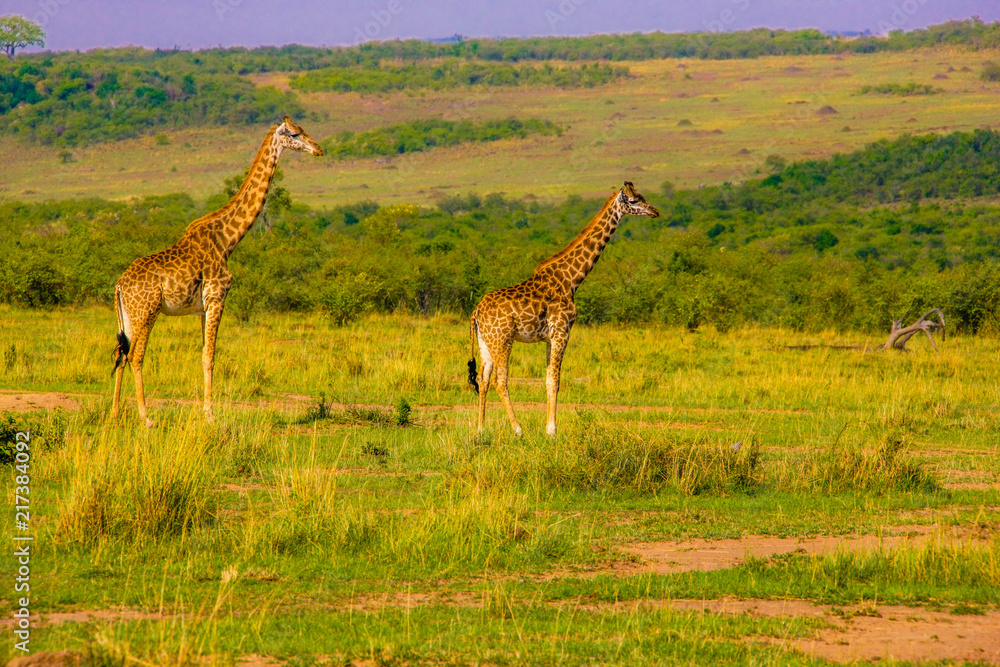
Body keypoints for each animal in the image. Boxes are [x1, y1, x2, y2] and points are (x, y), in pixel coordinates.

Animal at [111, 117, 324, 426]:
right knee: (136, 355)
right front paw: (210, 415)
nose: (318, 149)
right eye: (295, 134)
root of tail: (119, 285)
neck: (227, 240)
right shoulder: (217, 298)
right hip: (147, 312)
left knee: (121, 353)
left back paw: (115, 413)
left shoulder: (202, 307)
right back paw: (145, 417)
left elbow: (203, 354)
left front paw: (206, 411)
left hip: (127, 315)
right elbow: (210, 356)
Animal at [467, 181, 659, 437]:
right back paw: (517, 428)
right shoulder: (562, 332)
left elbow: (549, 379)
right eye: (634, 200)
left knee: (483, 379)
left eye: (642, 196)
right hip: (503, 340)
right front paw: (552, 430)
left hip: (485, 342)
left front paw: (549, 428)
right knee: (500, 379)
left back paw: (481, 429)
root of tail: (475, 313)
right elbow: (556, 380)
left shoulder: (550, 337)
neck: (572, 280)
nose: (655, 211)